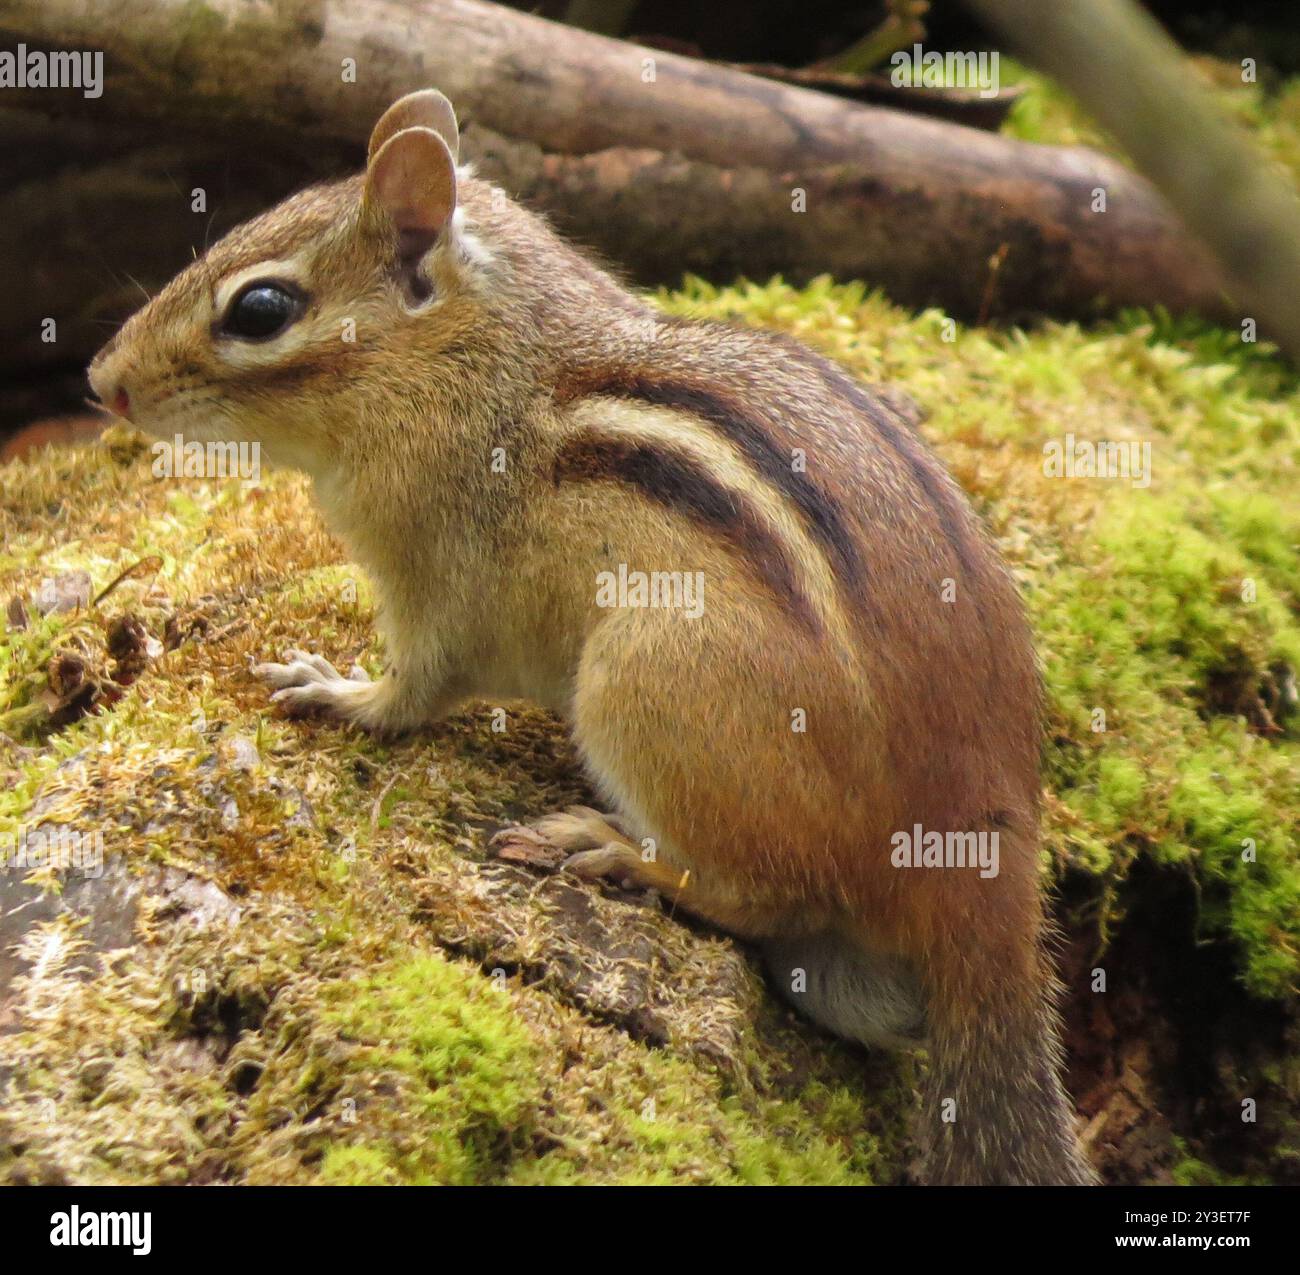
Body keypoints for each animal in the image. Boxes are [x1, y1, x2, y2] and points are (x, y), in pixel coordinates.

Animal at [88, 89, 1096, 1186]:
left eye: (260, 310)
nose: (102, 379)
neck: (477, 367)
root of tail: (985, 859)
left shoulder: (435, 575)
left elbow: (414, 687)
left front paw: (334, 688)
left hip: (641, 683)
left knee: (765, 895)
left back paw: (616, 850)